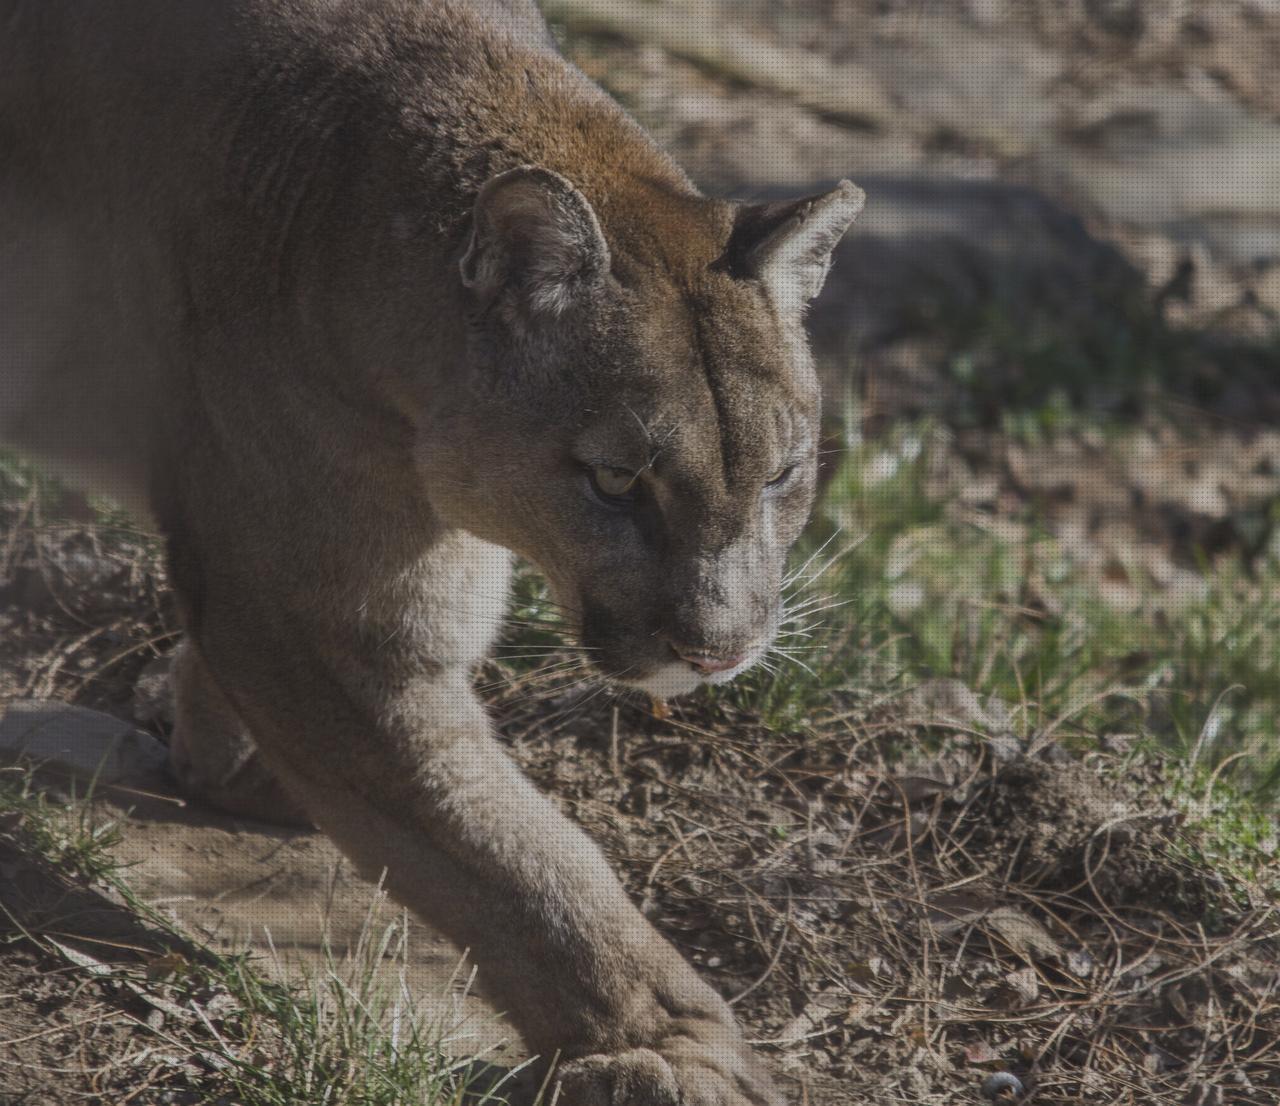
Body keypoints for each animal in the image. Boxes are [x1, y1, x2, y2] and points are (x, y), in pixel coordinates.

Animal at [0, 0, 865, 1100]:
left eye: (779, 473)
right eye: (614, 480)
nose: (717, 649)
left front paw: (229, 760)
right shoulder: (333, 633)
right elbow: (512, 854)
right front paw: (666, 1045)